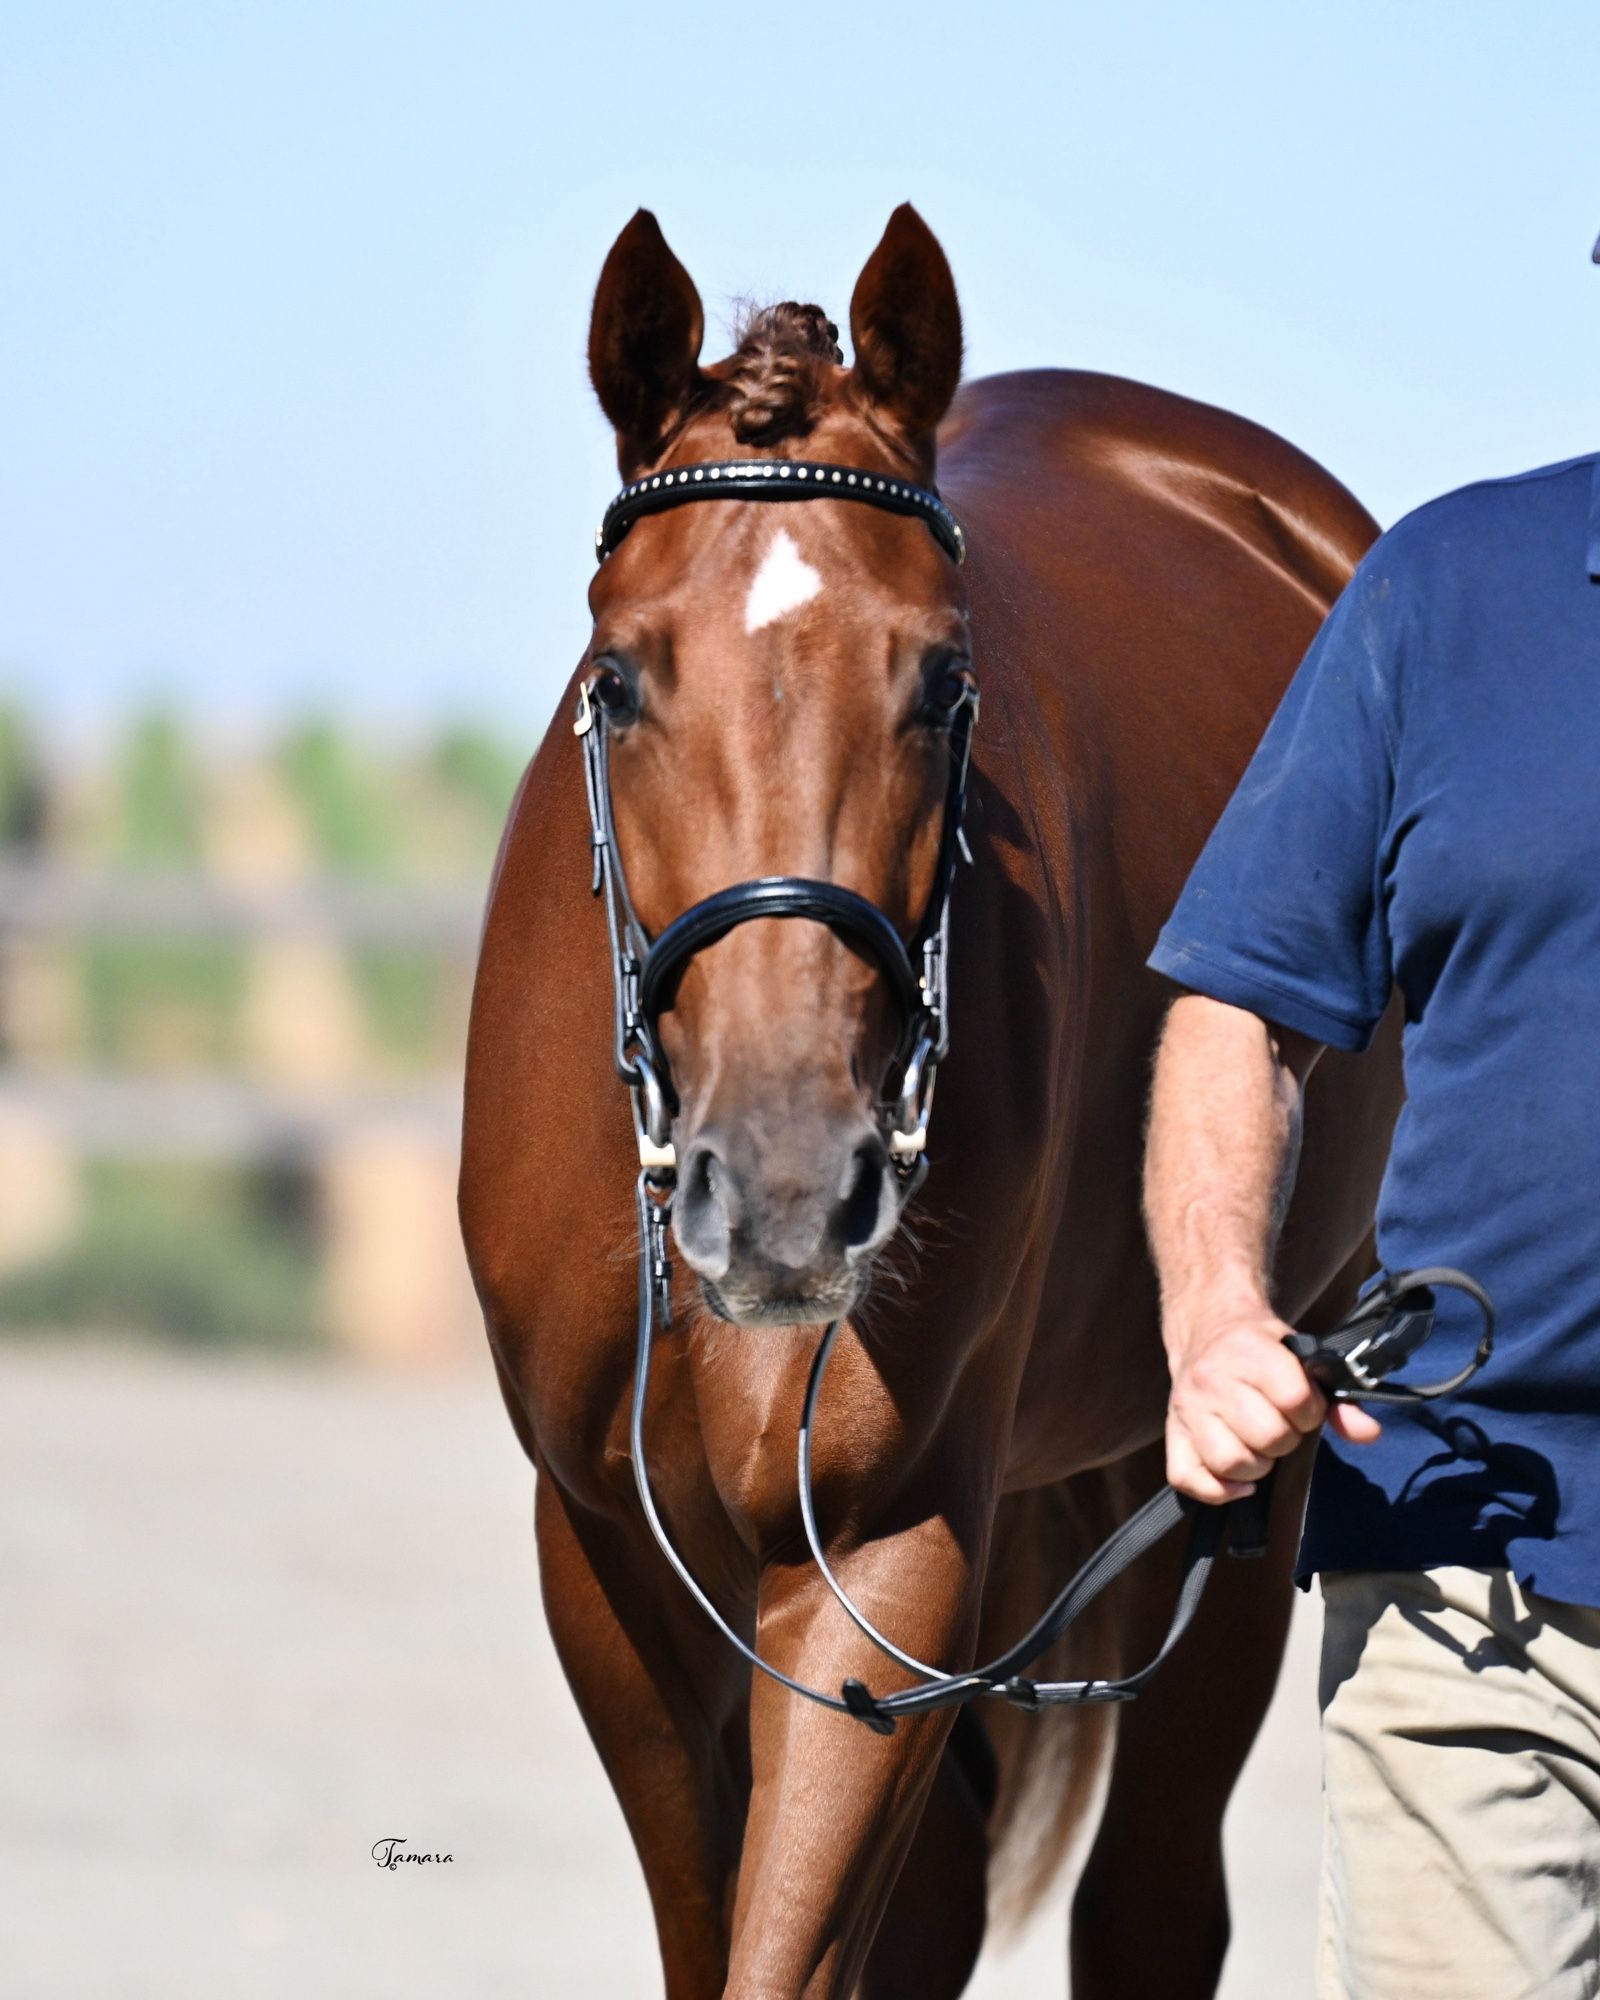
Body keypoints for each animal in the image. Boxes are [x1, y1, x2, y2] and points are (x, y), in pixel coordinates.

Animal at [460, 211, 1400, 1992]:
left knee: (1152, 1897)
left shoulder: (890, 1554)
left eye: (946, 681)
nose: (785, 1195)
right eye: (618, 681)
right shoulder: (602, 1564)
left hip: (1244, 1452)